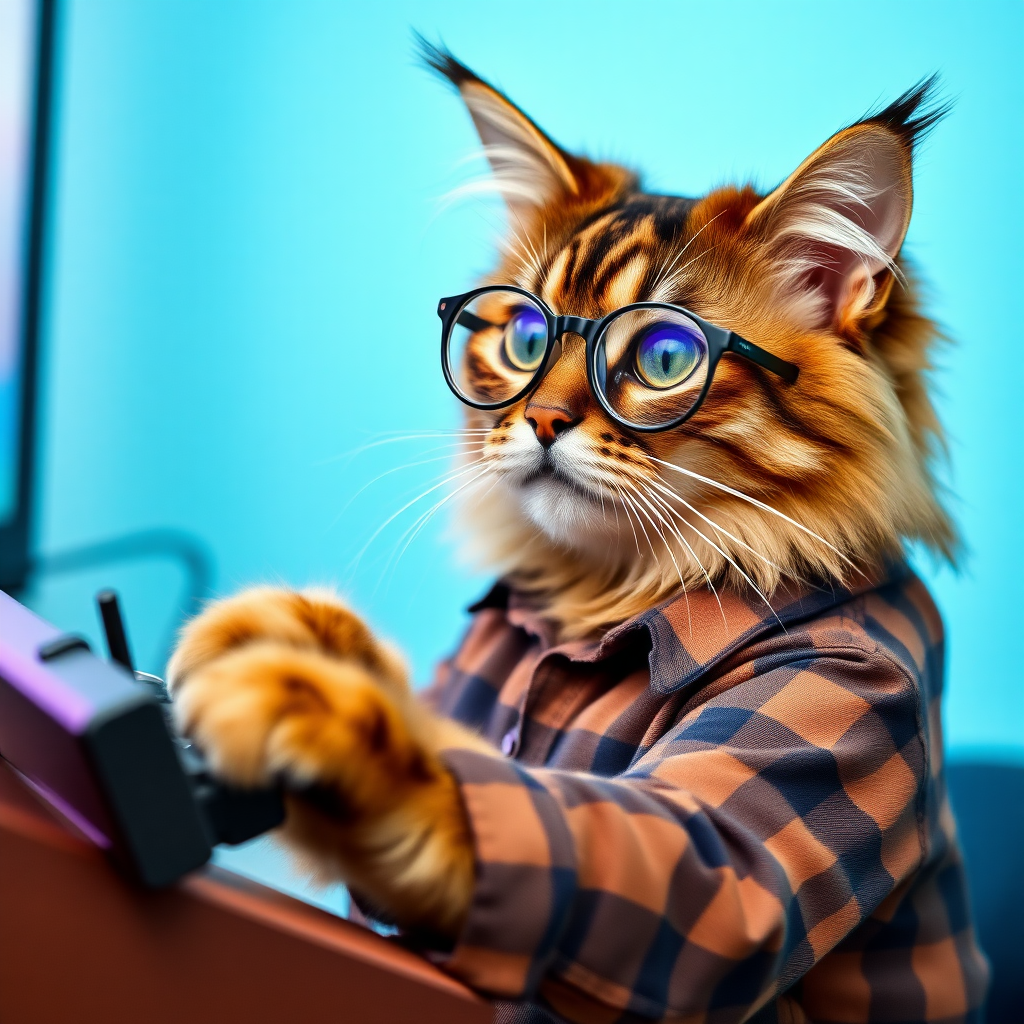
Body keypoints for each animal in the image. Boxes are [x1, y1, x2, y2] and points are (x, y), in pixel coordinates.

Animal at [169, 41, 991, 1024]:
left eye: (665, 358)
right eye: (524, 338)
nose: (542, 420)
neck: (603, 594)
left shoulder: (830, 716)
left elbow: (562, 842)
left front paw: (301, 700)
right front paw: (287, 632)